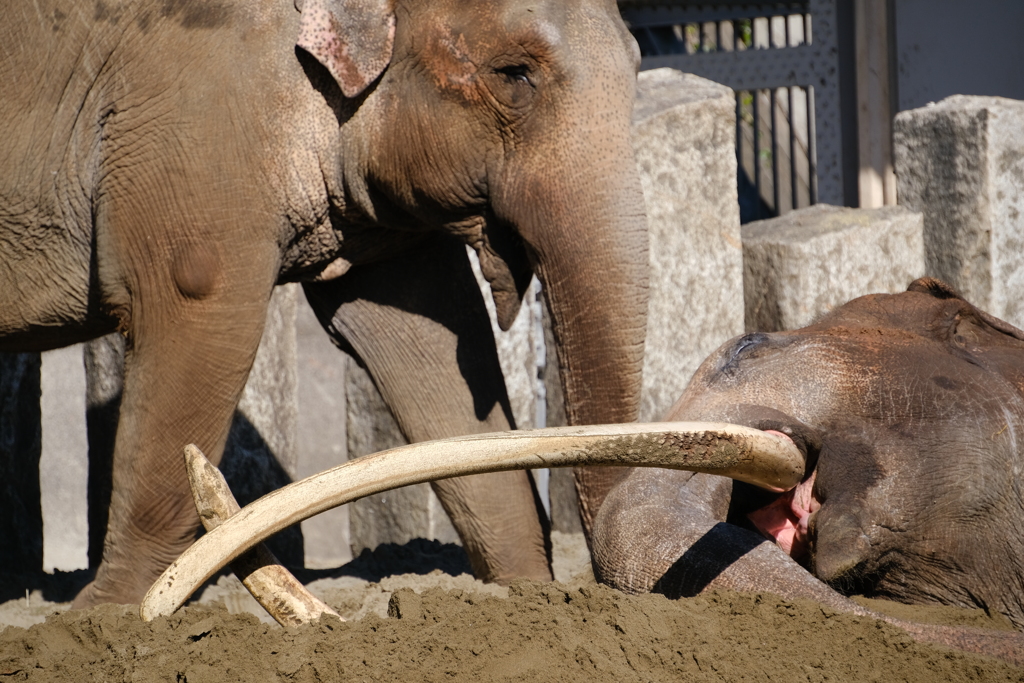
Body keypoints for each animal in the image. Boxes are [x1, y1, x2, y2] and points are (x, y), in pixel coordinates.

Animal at [0, 0, 643, 610]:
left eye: (638, 63)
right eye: (514, 75)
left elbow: (428, 342)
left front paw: (526, 595)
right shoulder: (196, 120)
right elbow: (196, 304)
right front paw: (105, 615)